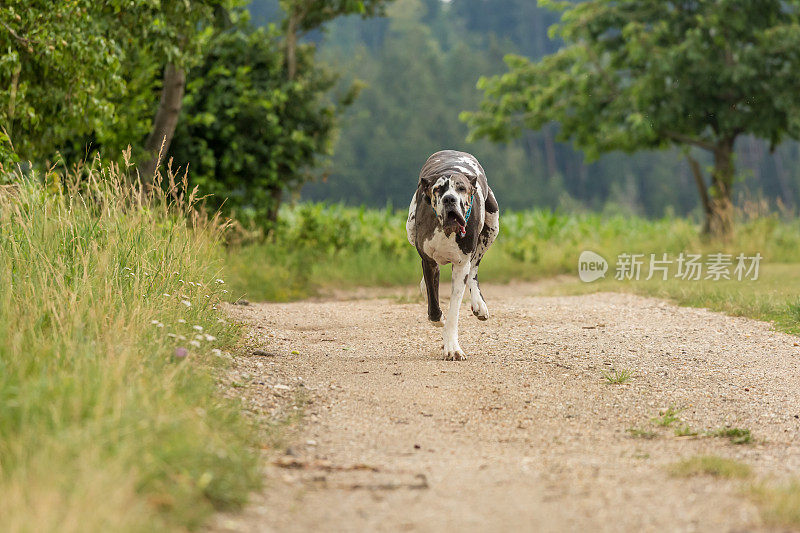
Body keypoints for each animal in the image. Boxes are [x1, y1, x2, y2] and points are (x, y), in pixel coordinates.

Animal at [406, 149, 500, 358]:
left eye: (461, 188)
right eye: (438, 189)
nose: (450, 199)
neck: (447, 230)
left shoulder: (460, 265)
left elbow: (454, 311)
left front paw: (452, 347)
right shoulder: (429, 261)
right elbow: (434, 306)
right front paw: (438, 317)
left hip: (492, 227)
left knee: (474, 268)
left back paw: (479, 304)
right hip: (410, 229)